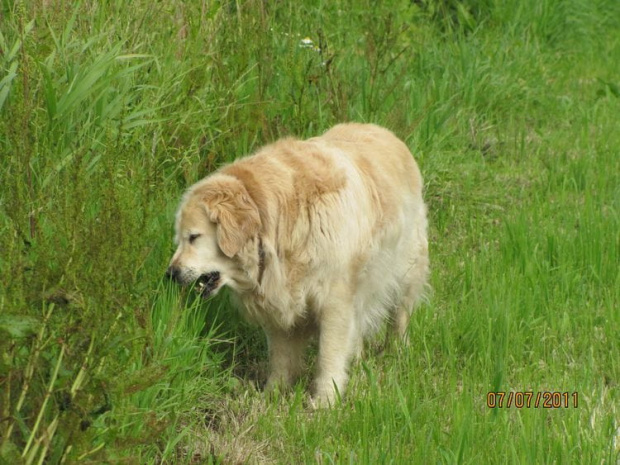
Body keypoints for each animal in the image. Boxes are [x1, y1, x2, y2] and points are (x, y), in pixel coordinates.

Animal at [167, 124, 428, 406]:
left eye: (194, 237)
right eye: (179, 239)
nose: (170, 274)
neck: (282, 222)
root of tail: (385, 132)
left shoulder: (335, 300)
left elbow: (329, 353)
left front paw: (326, 400)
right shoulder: (278, 299)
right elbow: (281, 357)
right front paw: (273, 393)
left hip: (407, 268)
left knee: (400, 314)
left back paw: (397, 350)